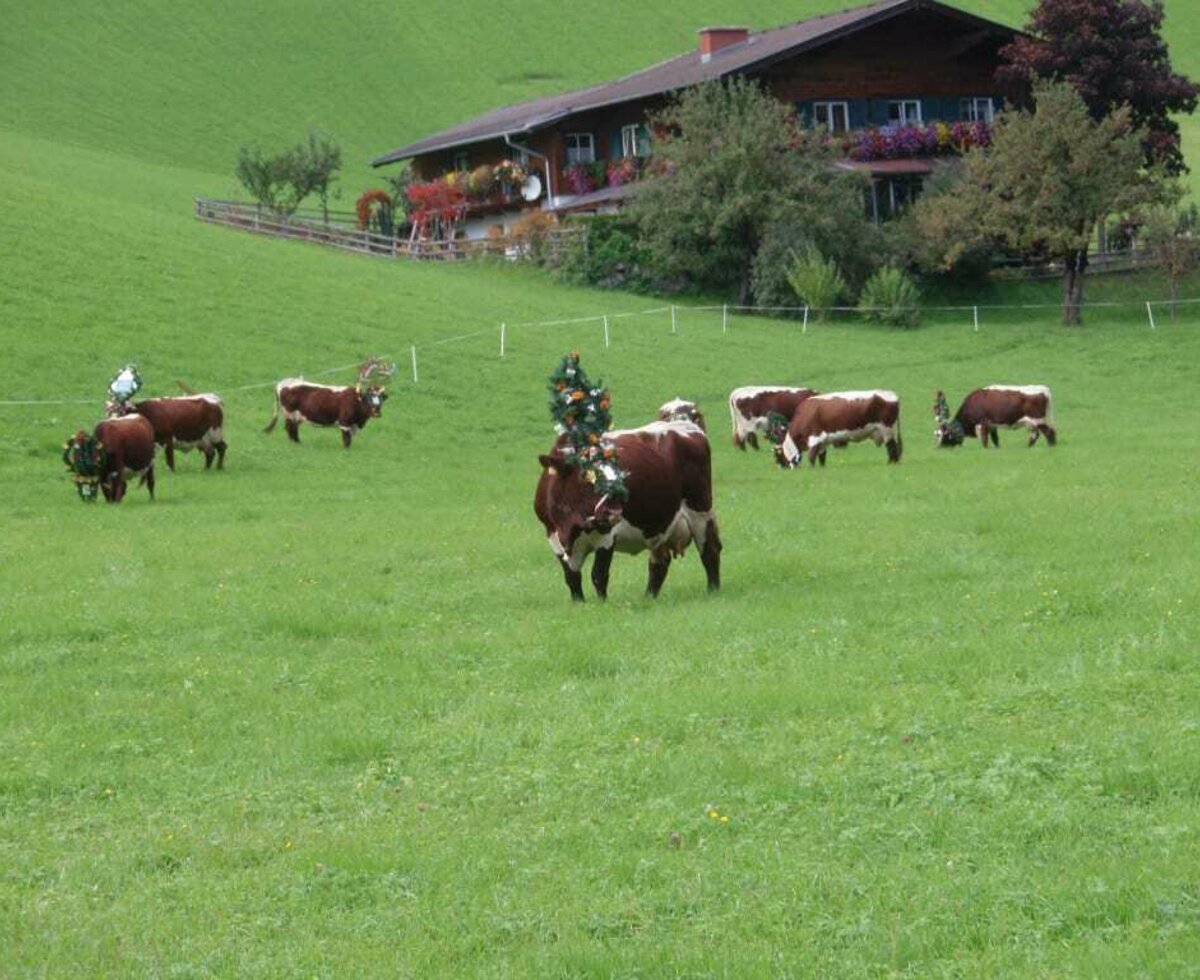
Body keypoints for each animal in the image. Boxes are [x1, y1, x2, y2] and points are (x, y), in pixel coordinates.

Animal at [265, 357, 396, 446]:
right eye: (368, 399)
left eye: (381, 400)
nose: (376, 412)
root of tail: (282, 382)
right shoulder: (345, 424)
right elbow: (347, 442)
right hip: (289, 413)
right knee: (290, 429)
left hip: (298, 416)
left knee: (293, 430)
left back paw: (298, 443)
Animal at [768, 388, 902, 467]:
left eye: (777, 455)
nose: (780, 468)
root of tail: (892, 394)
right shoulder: (823, 441)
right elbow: (822, 457)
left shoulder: (815, 437)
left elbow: (811, 457)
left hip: (886, 429)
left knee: (892, 448)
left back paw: (891, 464)